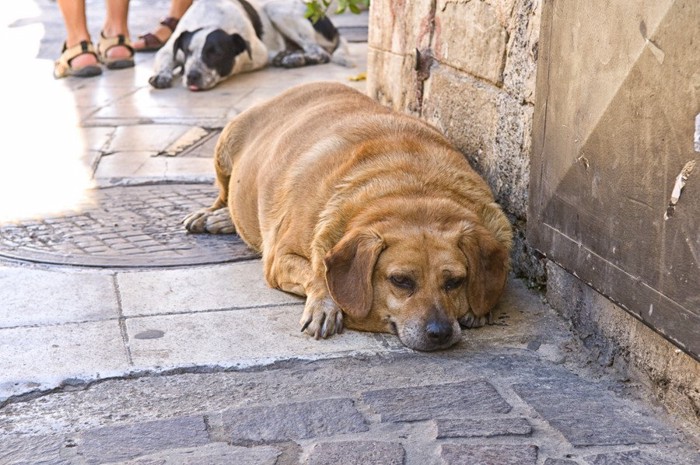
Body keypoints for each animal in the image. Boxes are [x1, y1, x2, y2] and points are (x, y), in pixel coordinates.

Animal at [150, 0, 352, 90]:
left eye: (216, 53)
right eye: (187, 51)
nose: (192, 76)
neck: (210, 19)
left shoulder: (257, 53)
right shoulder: (168, 50)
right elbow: (165, 60)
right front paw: (162, 75)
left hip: (277, 9)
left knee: (320, 52)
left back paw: (294, 59)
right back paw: (290, 56)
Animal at [183, 81, 512, 350]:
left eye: (455, 281)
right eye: (400, 281)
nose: (440, 332)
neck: (412, 189)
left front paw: (477, 309)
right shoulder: (279, 259)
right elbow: (317, 275)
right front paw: (324, 305)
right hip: (224, 147)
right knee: (223, 194)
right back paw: (216, 216)